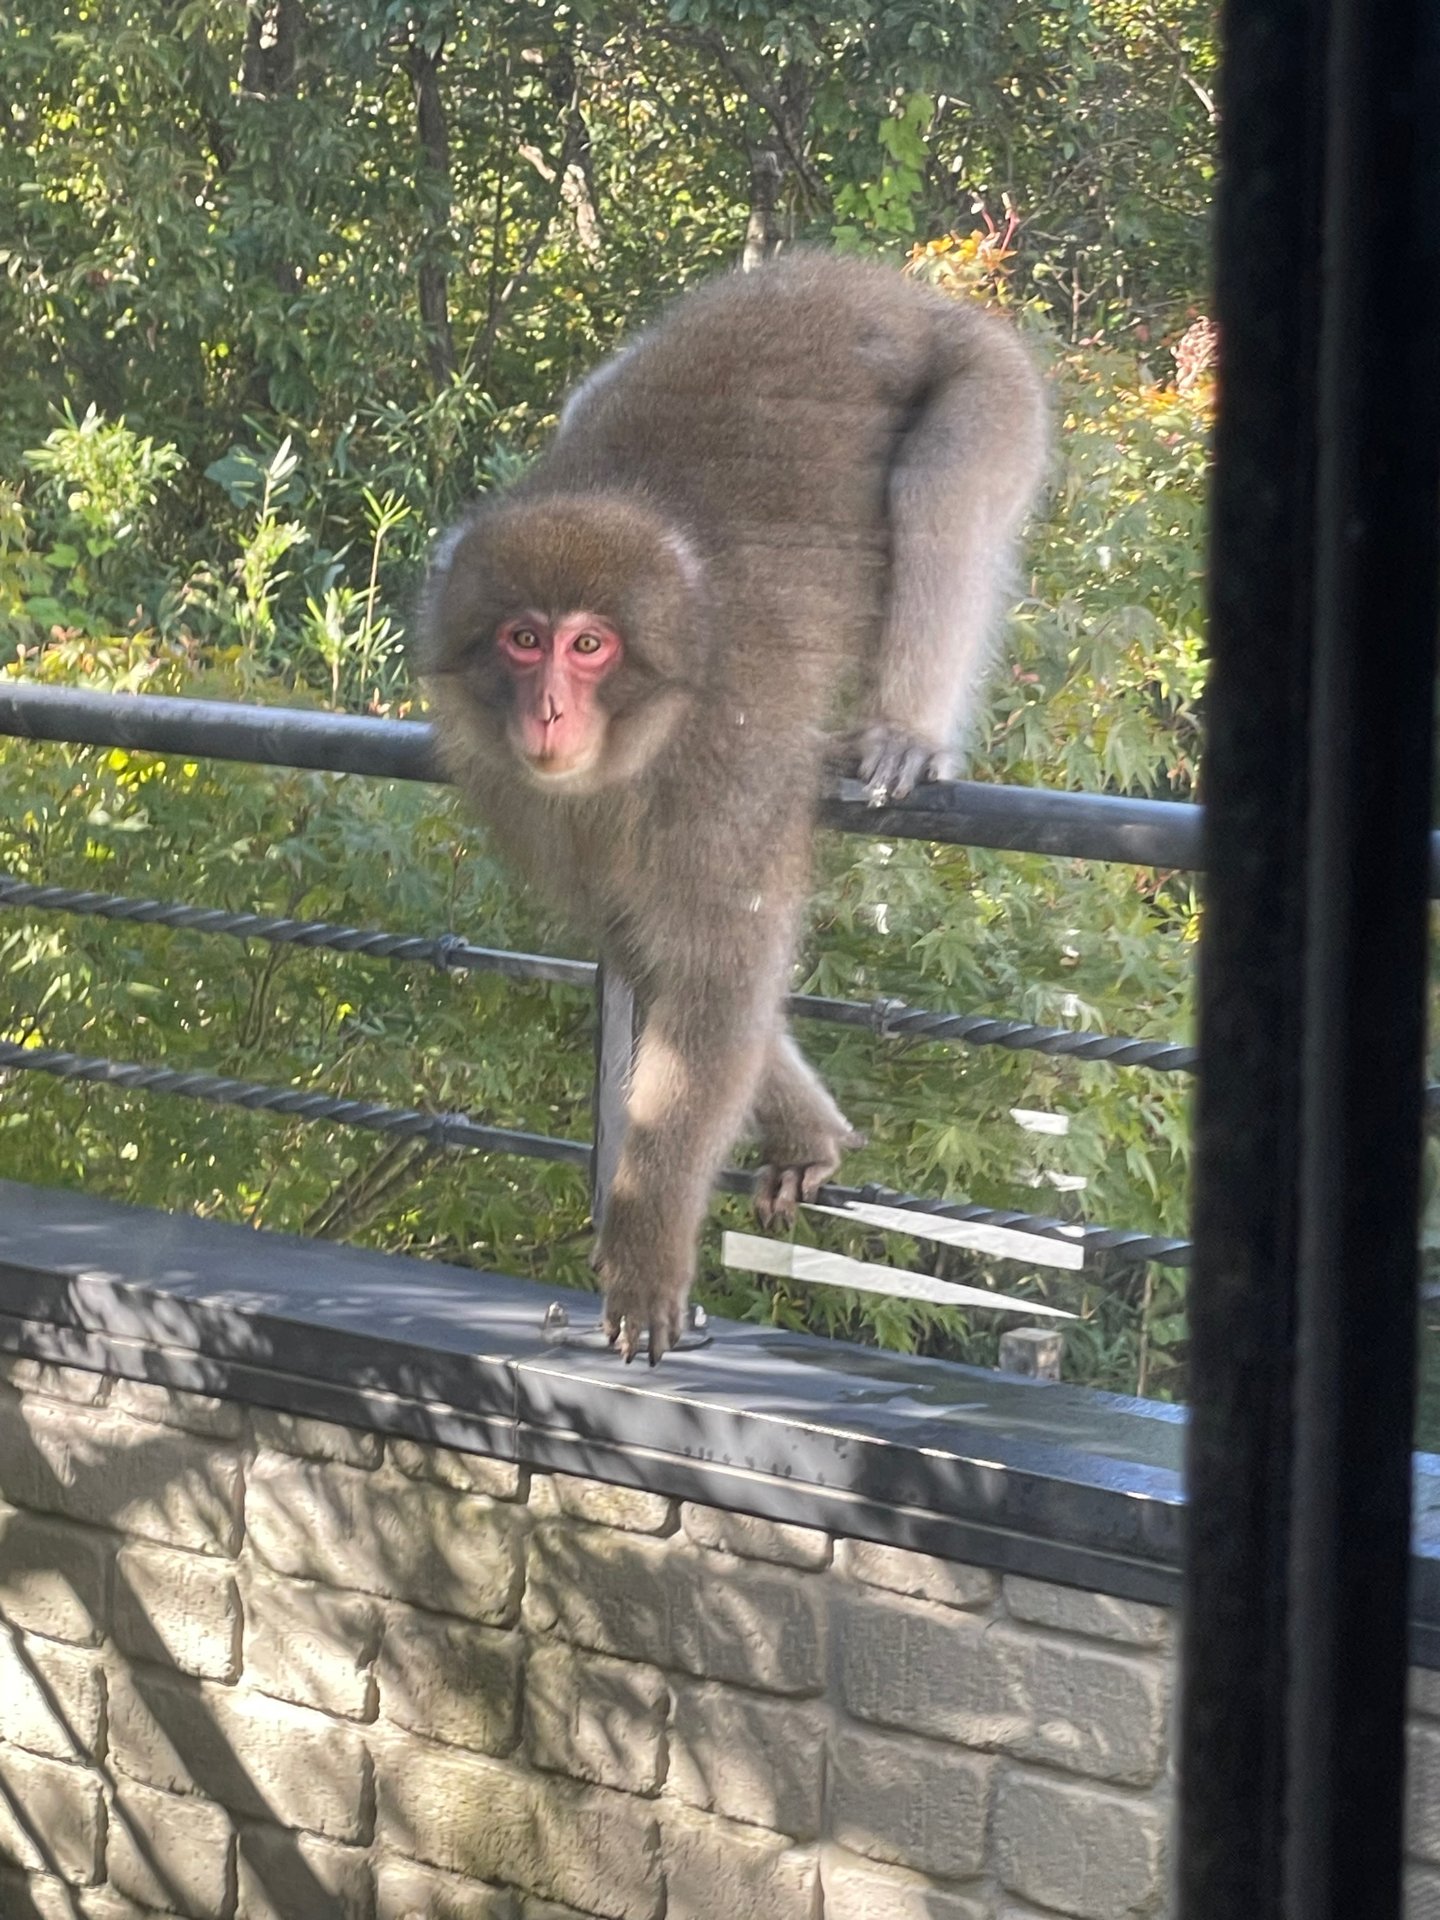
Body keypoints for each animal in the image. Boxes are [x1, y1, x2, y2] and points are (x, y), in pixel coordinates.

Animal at [420, 251, 1046, 1363]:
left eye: (590, 646)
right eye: (522, 641)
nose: (548, 712)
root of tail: (885, 286)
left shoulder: (726, 766)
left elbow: (718, 976)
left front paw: (646, 1246)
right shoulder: (515, 789)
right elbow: (650, 953)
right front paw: (805, 1130)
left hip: (994, 385)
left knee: (939, 485)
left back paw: (905, 729)